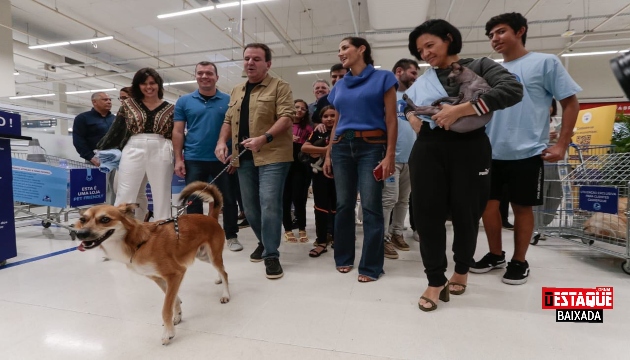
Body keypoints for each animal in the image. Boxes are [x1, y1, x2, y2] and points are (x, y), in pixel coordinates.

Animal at [75, 181, 231, 344]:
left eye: (105, 219)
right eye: (82, 220)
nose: (80, 234)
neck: (138, 243)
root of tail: (211, 217)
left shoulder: (176, 274)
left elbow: (166, 308)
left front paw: (168, 333)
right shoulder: (158, 278)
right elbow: (173, 300)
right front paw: (177, 316)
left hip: (212, 256)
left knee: (225, 272)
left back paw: (225, 294)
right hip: (204, 256)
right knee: (221, 269)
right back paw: (219, 279)